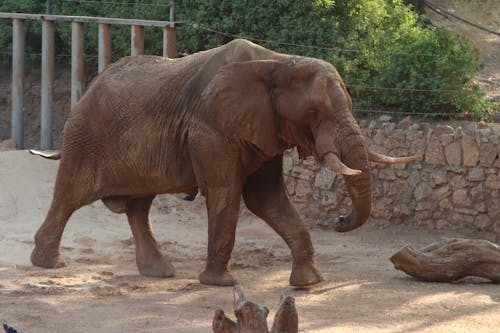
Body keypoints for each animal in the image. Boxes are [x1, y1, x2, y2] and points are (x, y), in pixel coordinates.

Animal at [31, 39, 420, 286]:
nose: (340, 221)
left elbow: (266, 200)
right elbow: (227, 192)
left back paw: (159, 272)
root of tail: (88, 88)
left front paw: (308, 283)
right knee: (70, 196)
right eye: (313, 113)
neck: (278, 61)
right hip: (84, 136)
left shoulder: (264, 130)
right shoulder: (211, 127)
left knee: (138, 207)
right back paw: (47, 263)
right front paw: (220, 284)